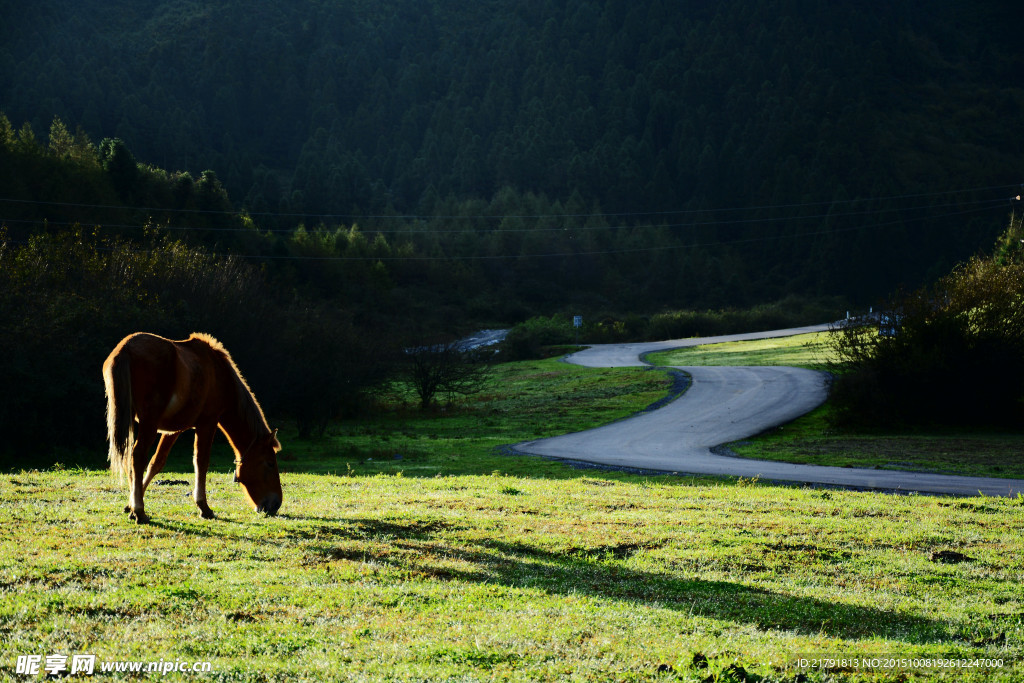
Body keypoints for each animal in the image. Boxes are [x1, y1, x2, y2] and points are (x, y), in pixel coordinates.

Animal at [102, 331, 282, 524]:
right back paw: (140, 511)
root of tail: (126, 347)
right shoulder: (207, 423)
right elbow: (201, 462)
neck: (219, 374)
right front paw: (204, 507)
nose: (275, 504)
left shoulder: (173, 430)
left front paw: (129, 506)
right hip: (148, 422)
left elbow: (157, 462)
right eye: (270, 464)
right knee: (138, 456)